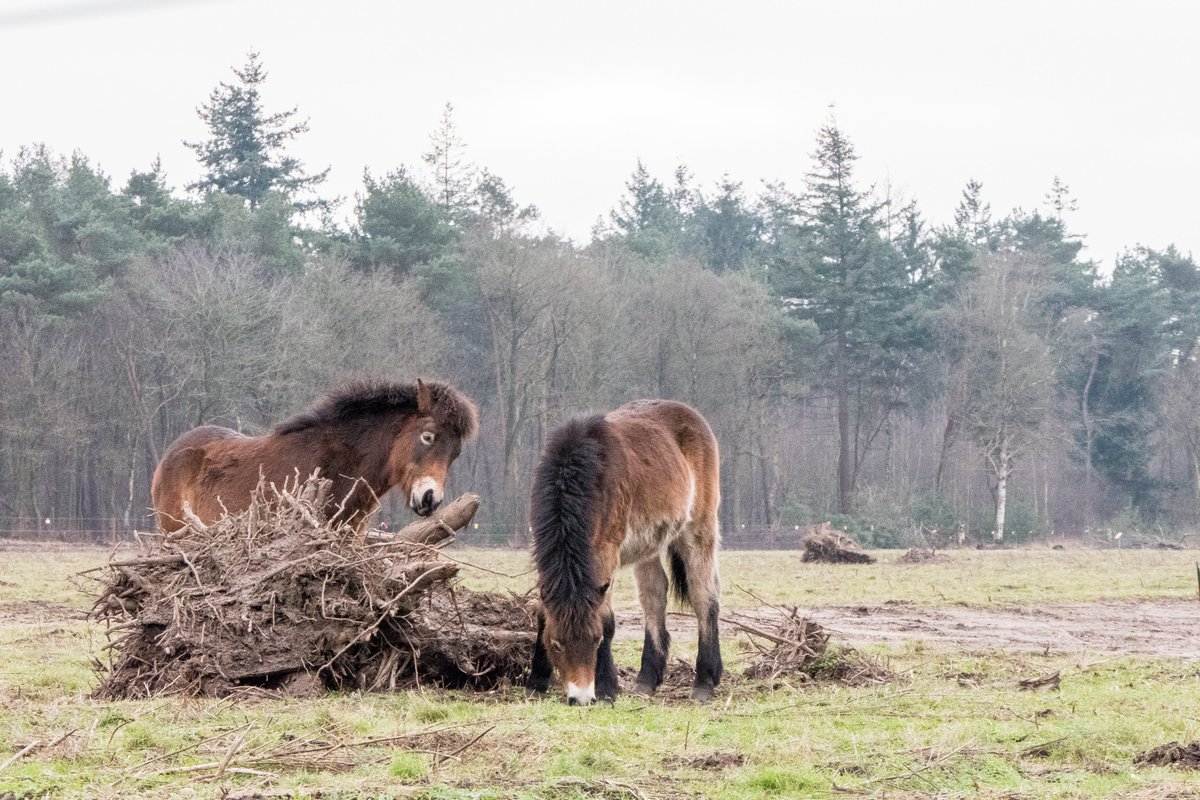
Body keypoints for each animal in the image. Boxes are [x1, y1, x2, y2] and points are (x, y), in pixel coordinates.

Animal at [526, 399, 723, 705]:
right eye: (556, 643)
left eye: (595, 640)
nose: (581, 697)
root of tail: (690, 414)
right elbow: (542, 612)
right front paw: (536, 681)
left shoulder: (606, 553)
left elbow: (607, 619)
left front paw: (607, 688)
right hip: (650, 544)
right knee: (654, 596)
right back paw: (646, 680)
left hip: (699, 531)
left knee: (705, 597)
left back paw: (704, 682)